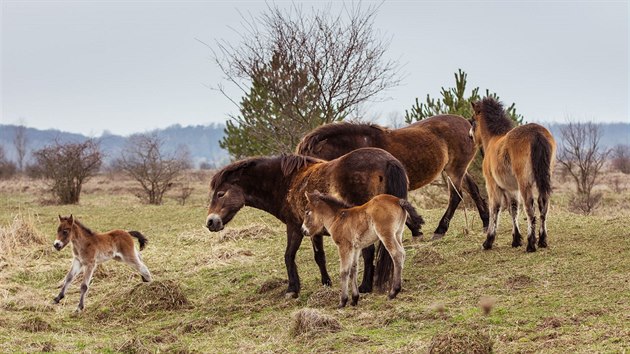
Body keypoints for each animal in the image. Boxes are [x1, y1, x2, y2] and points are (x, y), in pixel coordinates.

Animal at [207, 148, 424, 298]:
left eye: (220, 194)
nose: (210, 222)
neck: (286, 182)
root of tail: (388, 161)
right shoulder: (313, 230)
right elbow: (319, 256)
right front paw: (326, 282)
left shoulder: (294, 226)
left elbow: (288, 255)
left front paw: (292, 289)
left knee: (369, 252)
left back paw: (365, 287)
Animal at [298, 115, 494, 239]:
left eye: (309, 160)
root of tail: (468, 123)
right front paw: (416, 229)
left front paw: (416, 230)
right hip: (456, 170)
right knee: (473, 190)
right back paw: (485, 222)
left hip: (455, 170)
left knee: (456, 197)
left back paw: (440, 230)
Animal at [470, 97, 556, 252]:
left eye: (473, 120)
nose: (470, 136)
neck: (493, 140)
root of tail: (537, 134)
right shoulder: (511, 189)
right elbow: (513, 209)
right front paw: (516, 239)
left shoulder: (492, 185)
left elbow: (495, 209)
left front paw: (488, 241)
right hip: (544, 179)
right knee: (543, 205)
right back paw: (542, 241)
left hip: (524, 183)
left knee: (530, 209)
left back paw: (531, 244)